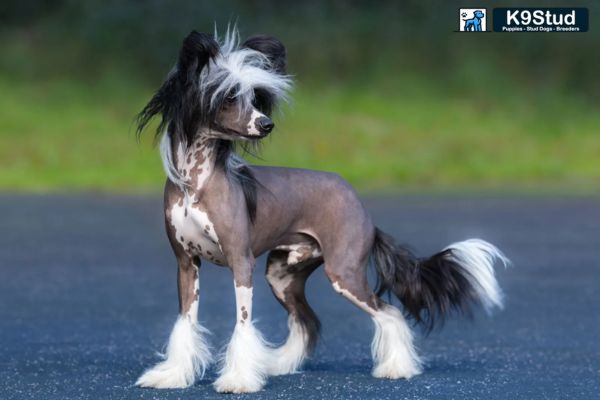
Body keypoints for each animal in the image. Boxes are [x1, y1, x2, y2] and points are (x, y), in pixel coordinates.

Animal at [134, 28, 508, 394]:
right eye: (228, 97)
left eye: (254, 98)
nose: (266, 124)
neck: (194, 184)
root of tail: (362, 208)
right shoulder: (186, 263)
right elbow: (185, 323)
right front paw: (172, 375)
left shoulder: (241, 262)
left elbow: (242, 325)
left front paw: (238, 380)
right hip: (283, 274)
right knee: (306, 320)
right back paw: (280, 364)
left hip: (344, 271)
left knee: (388, 313)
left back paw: (396, 368)